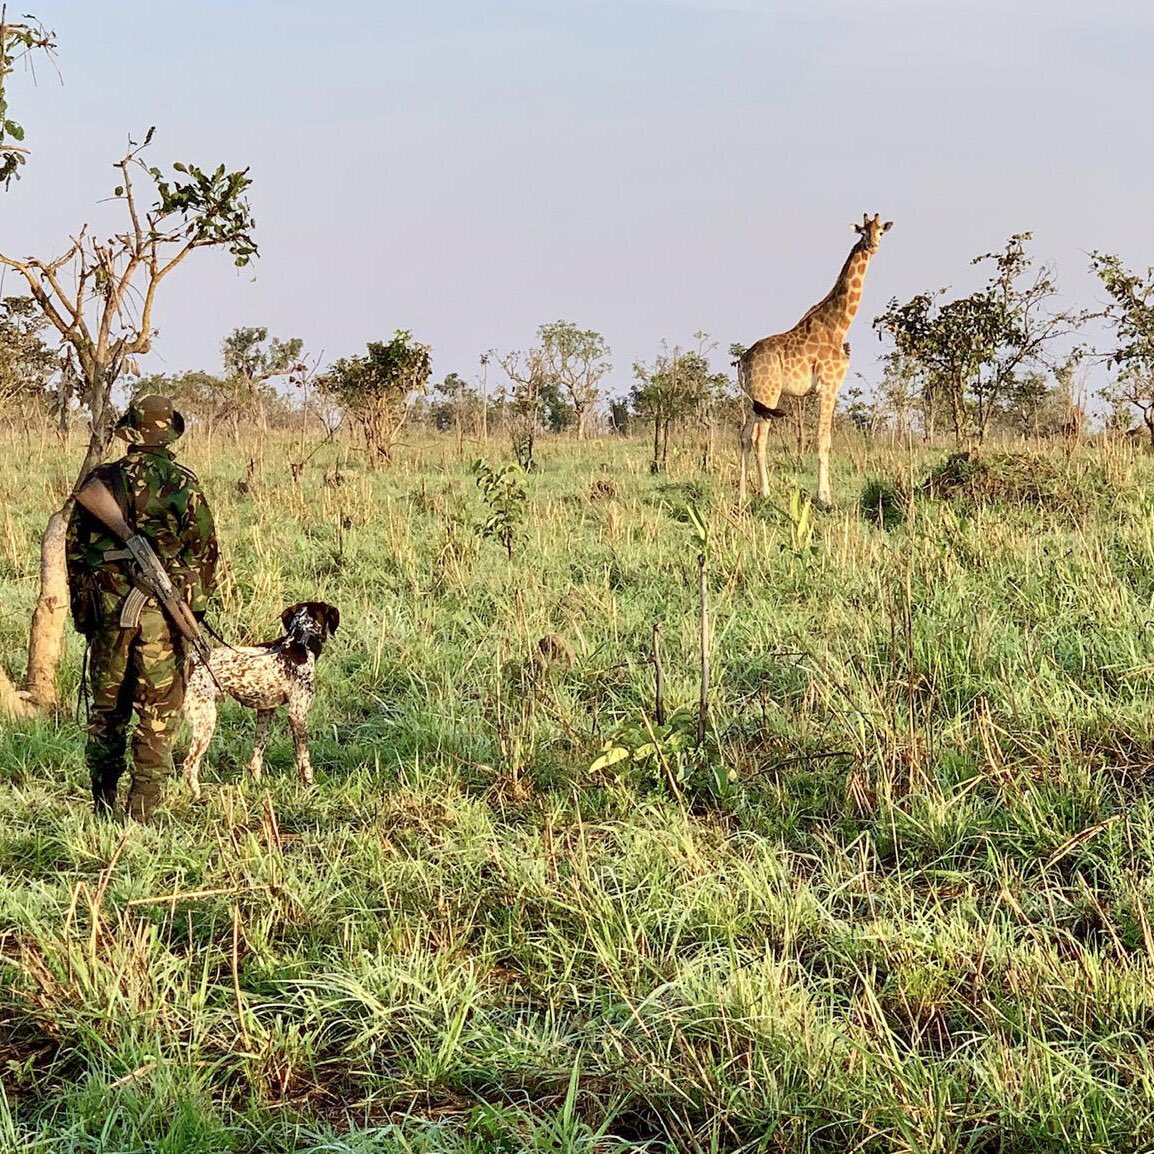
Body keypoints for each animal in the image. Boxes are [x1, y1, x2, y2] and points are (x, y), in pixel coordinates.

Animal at [738, 213, 893, 506]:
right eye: (863, 232)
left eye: (880, 231)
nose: (873, 246)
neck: (839, 325)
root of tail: (741, 362)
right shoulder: (828, 387)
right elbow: (823, 441)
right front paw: (825, 498)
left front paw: (824, 494)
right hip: (768, 395)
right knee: (759, 439)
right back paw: (765, 492)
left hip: (755, 400)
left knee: (744, 437)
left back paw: (741, 494)